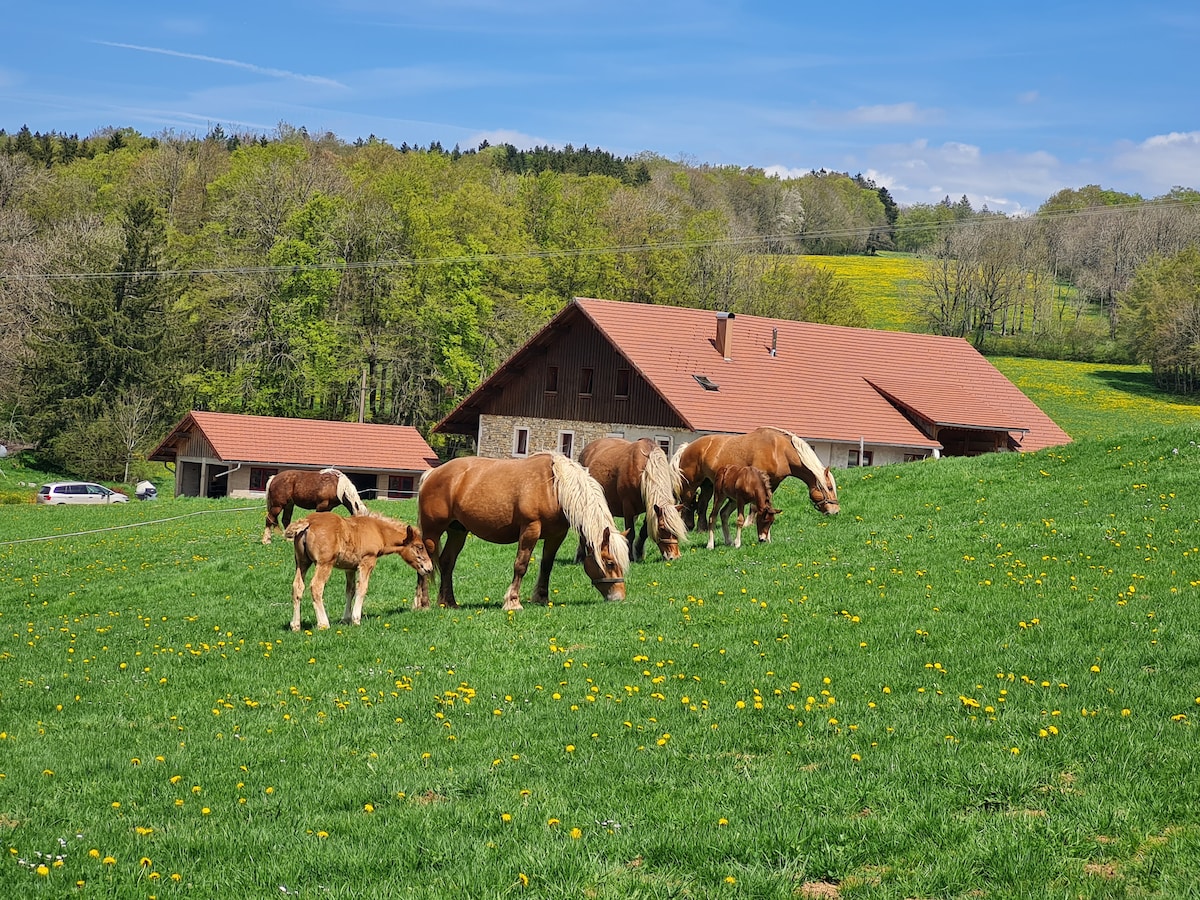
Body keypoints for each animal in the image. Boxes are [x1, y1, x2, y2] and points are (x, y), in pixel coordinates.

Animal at [280, 511, 432, 628]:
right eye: (420, 547)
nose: (429, 568)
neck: (378, 531)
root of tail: (308, 521)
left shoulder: (350, 568)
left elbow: (350, 590)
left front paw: (345, 619)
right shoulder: (367, 561)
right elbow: (362, 588)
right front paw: (356, 619)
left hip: (302, 562)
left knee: (297, 586)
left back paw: (295, 625)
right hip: (324, 563)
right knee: (316, 586)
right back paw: (323, 624)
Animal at [415, 451, 628, 614]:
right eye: (610, 563)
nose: (619, 597)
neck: (554, 487)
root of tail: (433, 473)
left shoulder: (556, 535)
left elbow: (547, 566)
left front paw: (542, 598)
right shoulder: (530, 529)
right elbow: (521, 566)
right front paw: (513, 602)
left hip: (457, 532)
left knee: (447, 562)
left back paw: (448, 602)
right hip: (432, 532)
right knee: (425, 563)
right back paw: (422, 604)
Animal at [672, 427, 840, 532]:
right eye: (830, 487)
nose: (835, 511)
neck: (779, 450)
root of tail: (687, 447)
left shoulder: (773, 483)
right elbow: (753, 506)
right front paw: (748, 524)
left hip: (707, 484)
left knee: (701, 504)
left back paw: (702, 529)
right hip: (691, 484)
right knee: (686, 503)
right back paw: (686, 526)